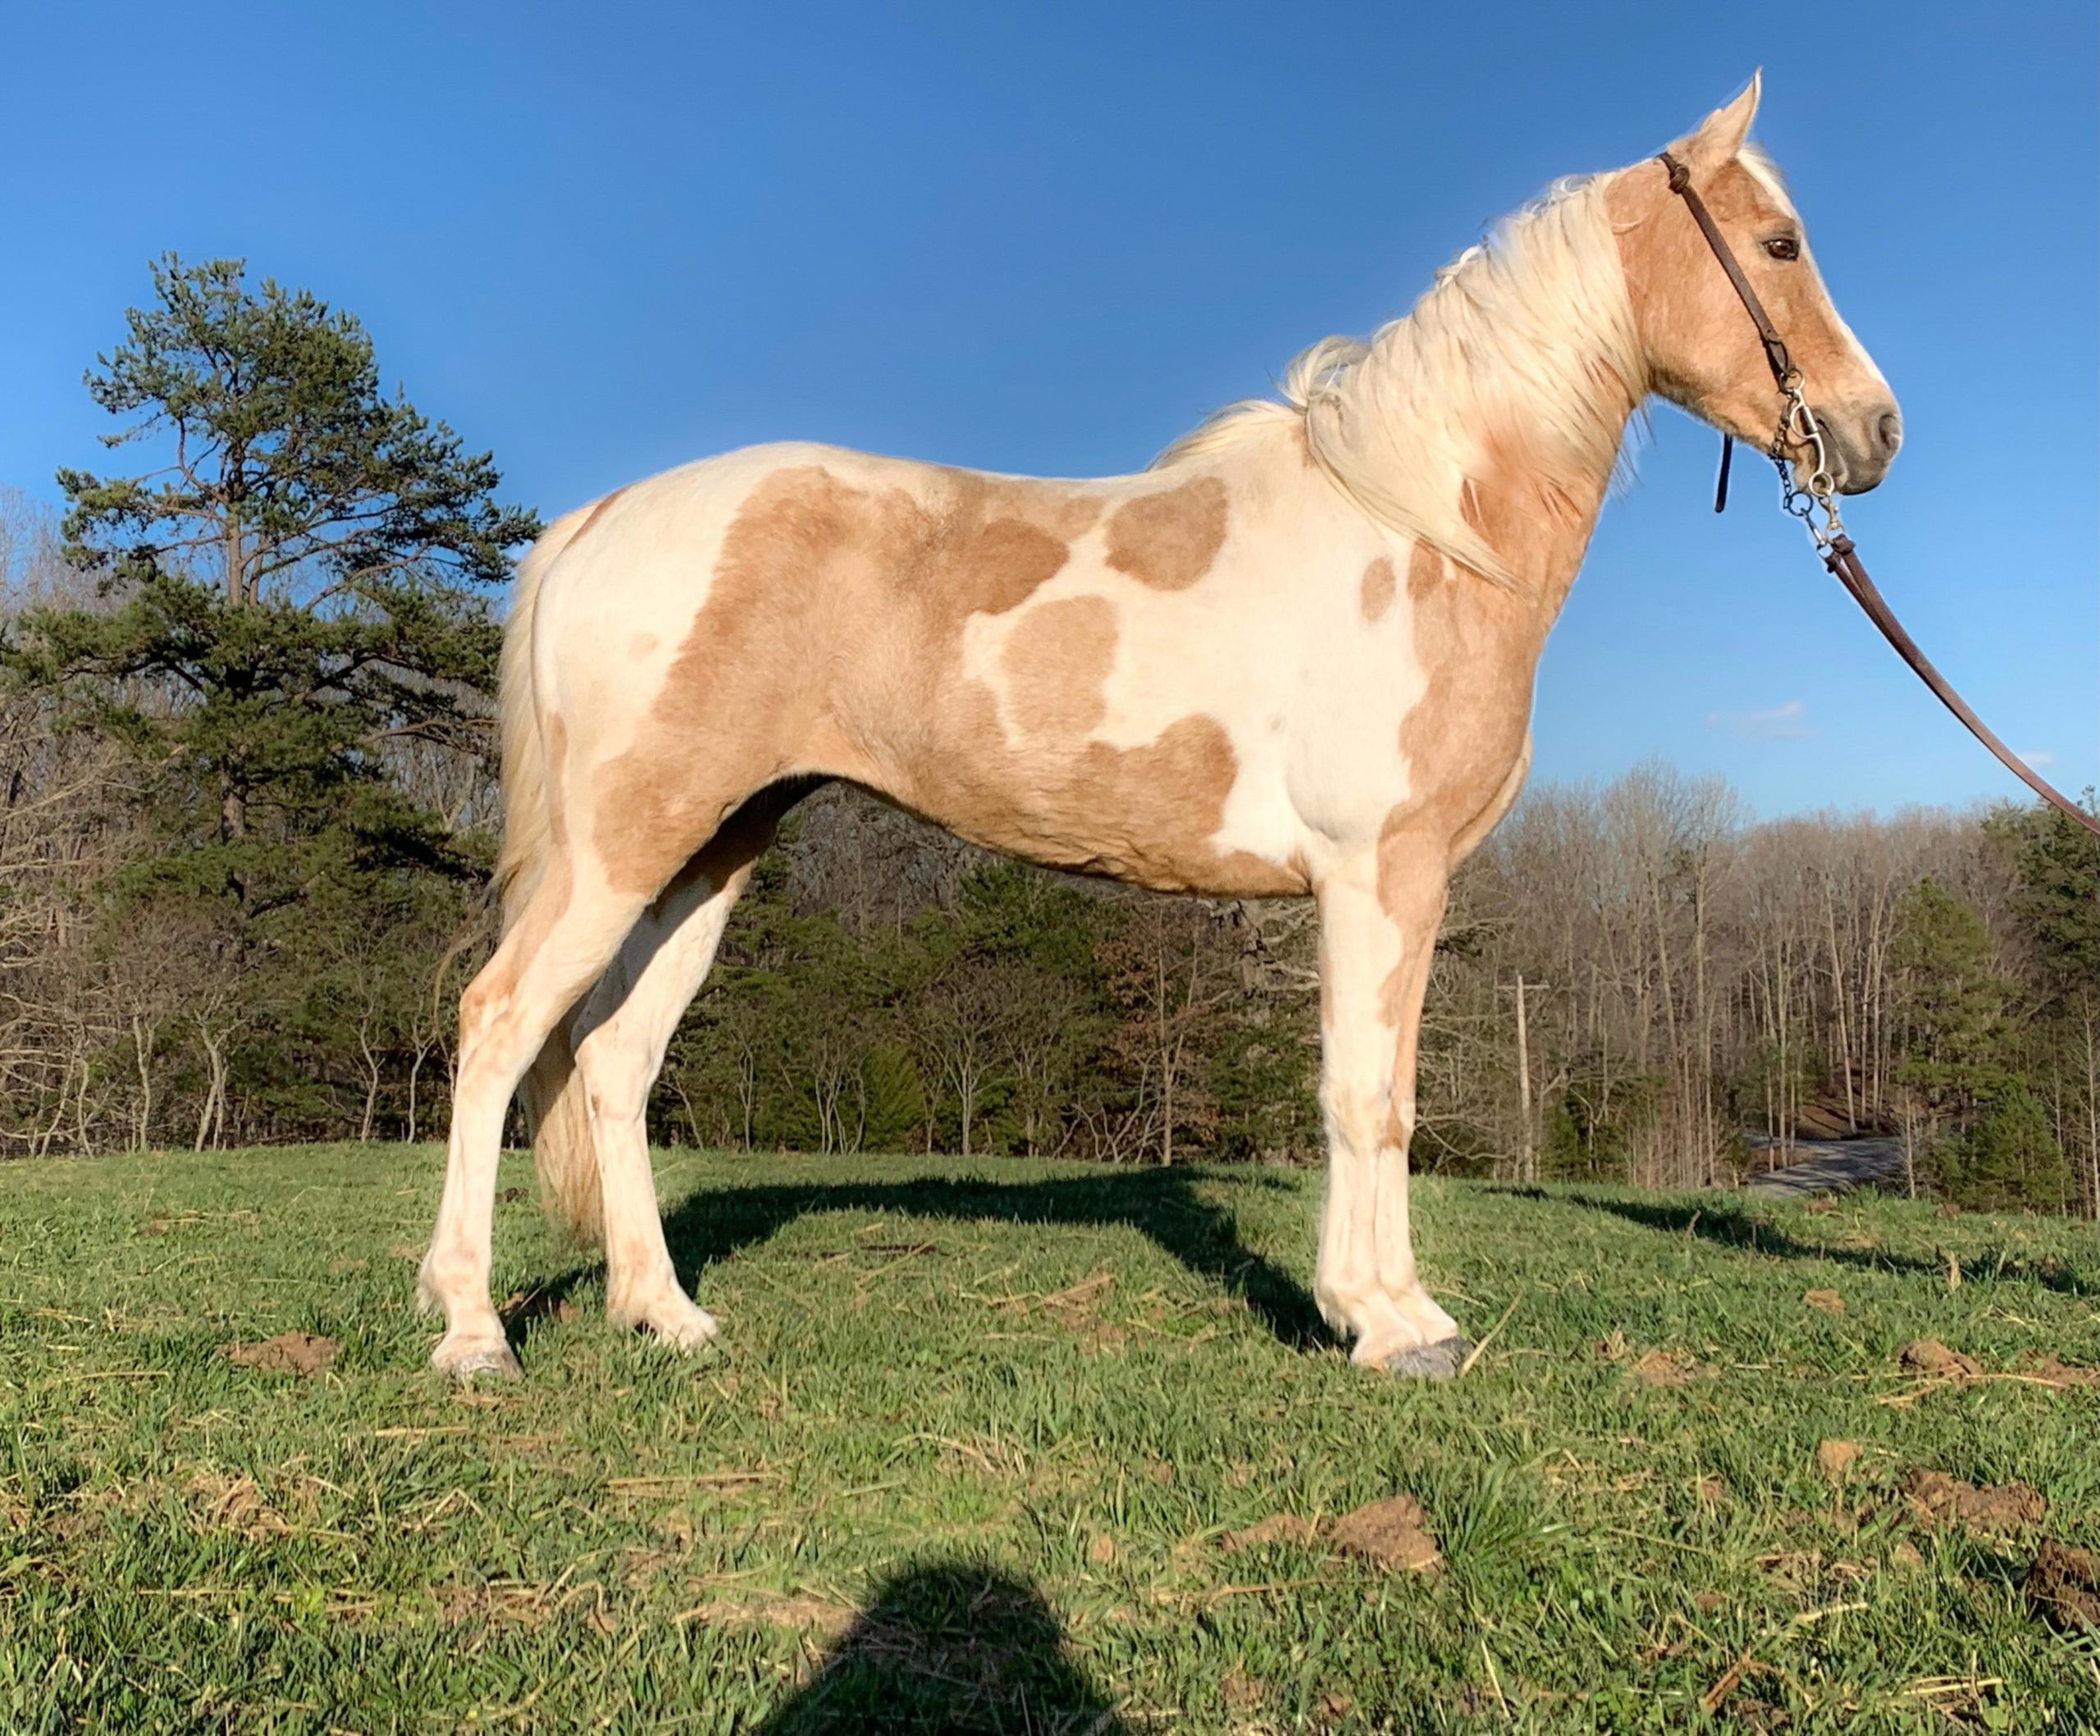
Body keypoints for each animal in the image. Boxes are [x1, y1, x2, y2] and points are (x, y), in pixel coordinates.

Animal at [419, 75, 1900, 1380]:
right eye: (1779, 242)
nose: (1873, 431)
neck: (1418, 530)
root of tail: (599, 518)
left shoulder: (1390, 885)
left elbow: (1382, 1095)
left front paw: (1391, 1308)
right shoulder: (1380, 874)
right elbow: (1371, 1098)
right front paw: (1387, 1324)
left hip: (709, 850)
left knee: (613, 1059)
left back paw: (665, 1316)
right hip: (622, 848)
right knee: (499, 1024)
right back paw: (474, 1331)